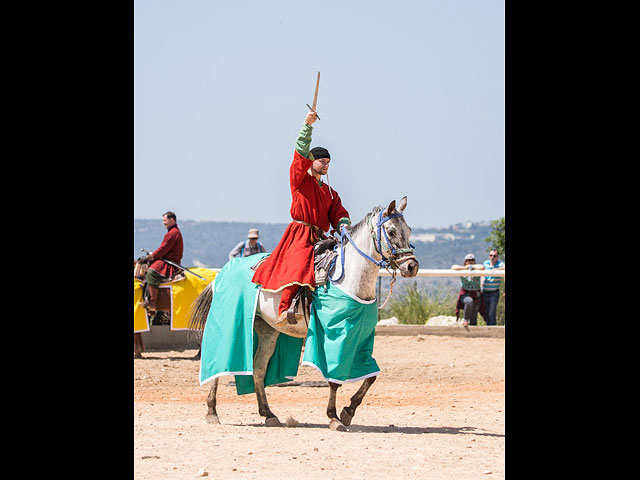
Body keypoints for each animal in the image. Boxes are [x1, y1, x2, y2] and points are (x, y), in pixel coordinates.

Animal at [189, 195, 420, 432]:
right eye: (391, 231)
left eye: (409, 230)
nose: (412, 266)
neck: (349, 278)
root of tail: (220, 274)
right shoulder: (332, 336)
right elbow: (334, 379)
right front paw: (334, 417)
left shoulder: (360, 337)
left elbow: (371, 376)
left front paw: (348, 411)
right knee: (217, 364)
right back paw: (212, 411)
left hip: (267, 331)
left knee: (258, 368)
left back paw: (268, 414)